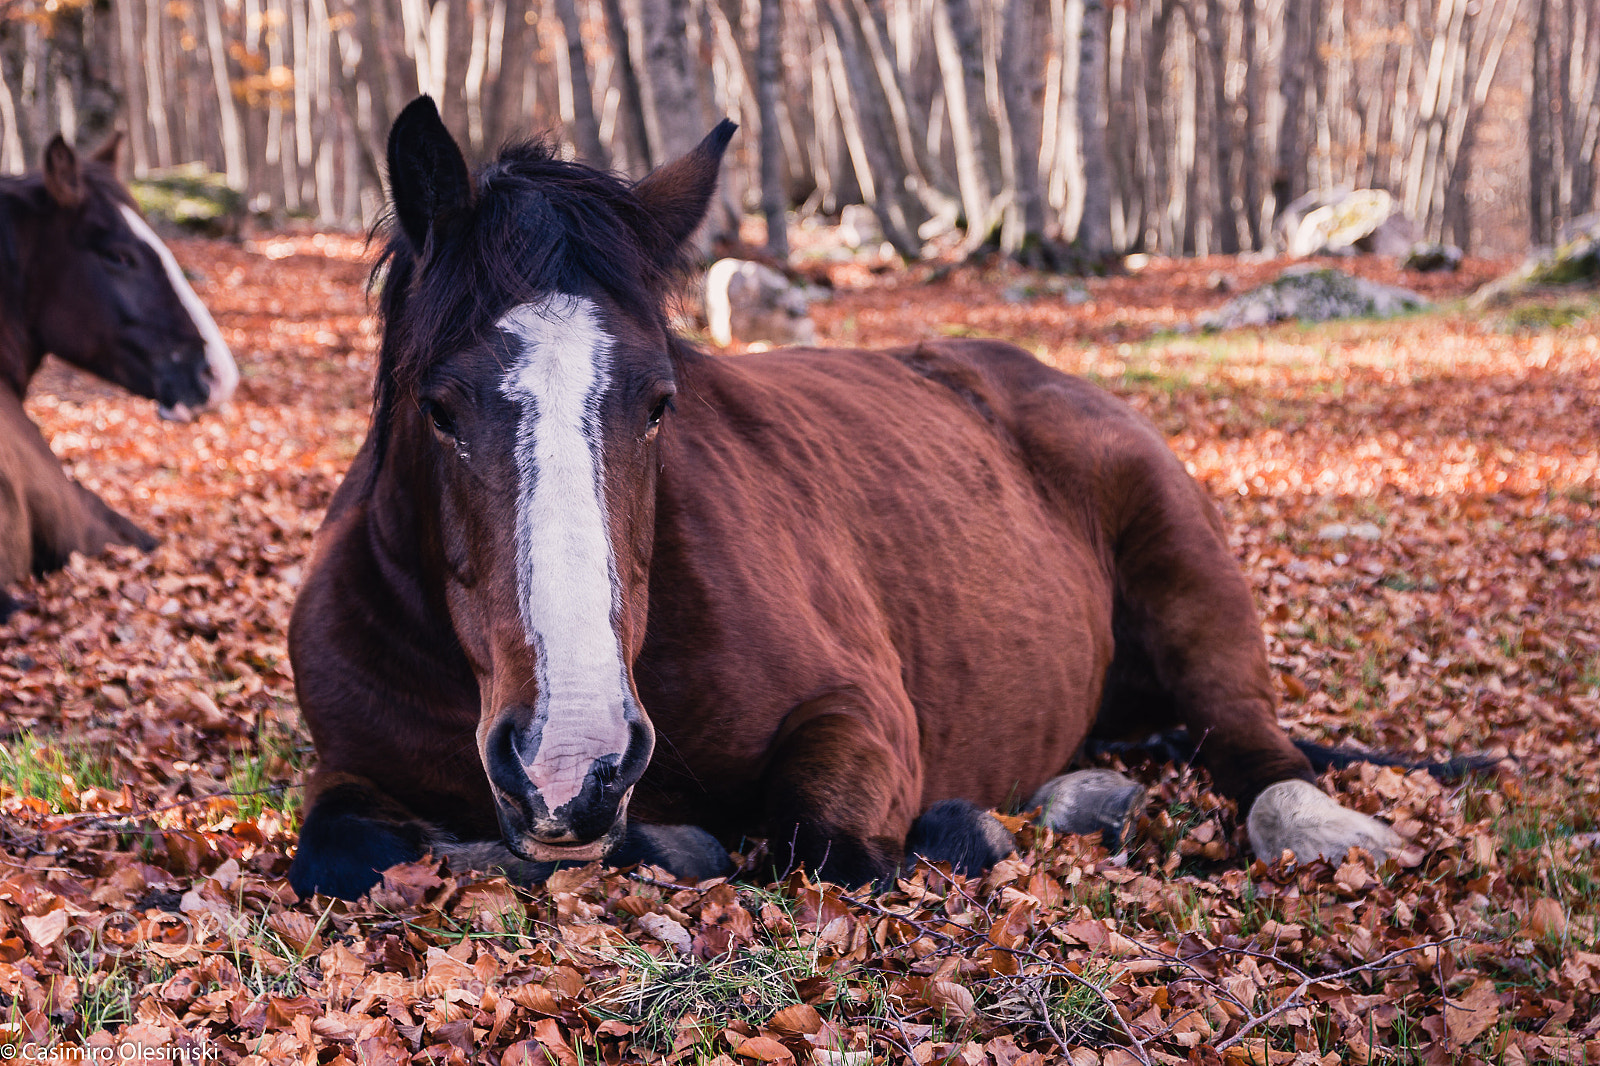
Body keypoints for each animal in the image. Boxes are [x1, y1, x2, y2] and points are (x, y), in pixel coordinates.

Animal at [287, 96, 1406, 901]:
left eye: (658, 404)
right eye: (439, 406)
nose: (574, 764)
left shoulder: (859, 718)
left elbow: (819, 844)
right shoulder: (350, 771)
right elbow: (340, 852)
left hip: (1190, 585)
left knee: (1251, 747)